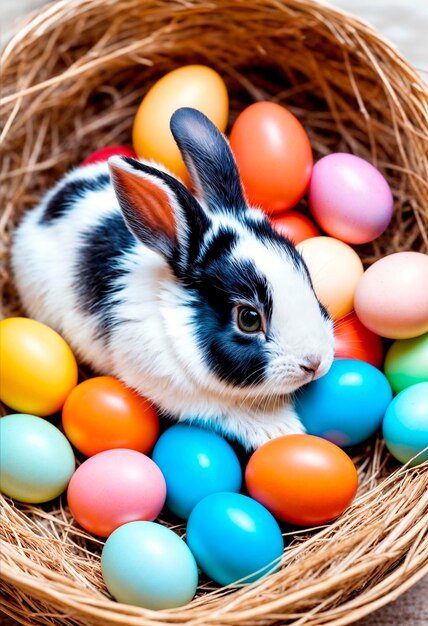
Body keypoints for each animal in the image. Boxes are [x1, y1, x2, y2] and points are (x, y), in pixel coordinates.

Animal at [11, 107, 336, 448]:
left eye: (307, 276)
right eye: (248, 318)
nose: (314, 363)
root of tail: (42, 209)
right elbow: (227, 411)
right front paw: (279, 429)